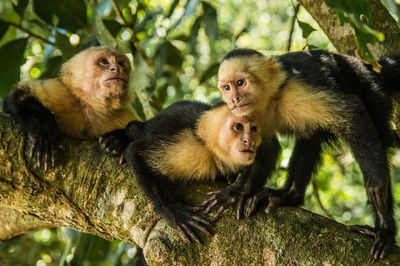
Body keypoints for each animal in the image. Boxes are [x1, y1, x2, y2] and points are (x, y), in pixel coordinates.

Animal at [2, 46, 138, 169]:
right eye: (104, 62)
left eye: (121, 63)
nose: (117, 68)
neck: (90, 106)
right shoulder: (60, 91)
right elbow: (18, 96)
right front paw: (44, 132)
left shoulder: (123, 114)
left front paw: (119, 138)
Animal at [99, 101, 280, 243]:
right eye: (238, 126)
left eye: (254, 129)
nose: (249, 141)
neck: (214, 151)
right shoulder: (190, 144)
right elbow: (138, 153)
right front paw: (175, 213)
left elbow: (269, 149)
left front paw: (235, 194)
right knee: (135, 129)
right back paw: (117, 141)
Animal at [209, 48, 400, 260]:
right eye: (227, 87)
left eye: (241, 83)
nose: (233, 99)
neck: (270, 98)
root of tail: (368, 66)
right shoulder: (247, 116)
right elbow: (266, 149)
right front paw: (240, 190)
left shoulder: (296, 89)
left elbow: (353, 113)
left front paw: (376, 186)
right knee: (310, 138)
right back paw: (289, 196)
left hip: (373, 90)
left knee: (378, 136)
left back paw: (384, 229)